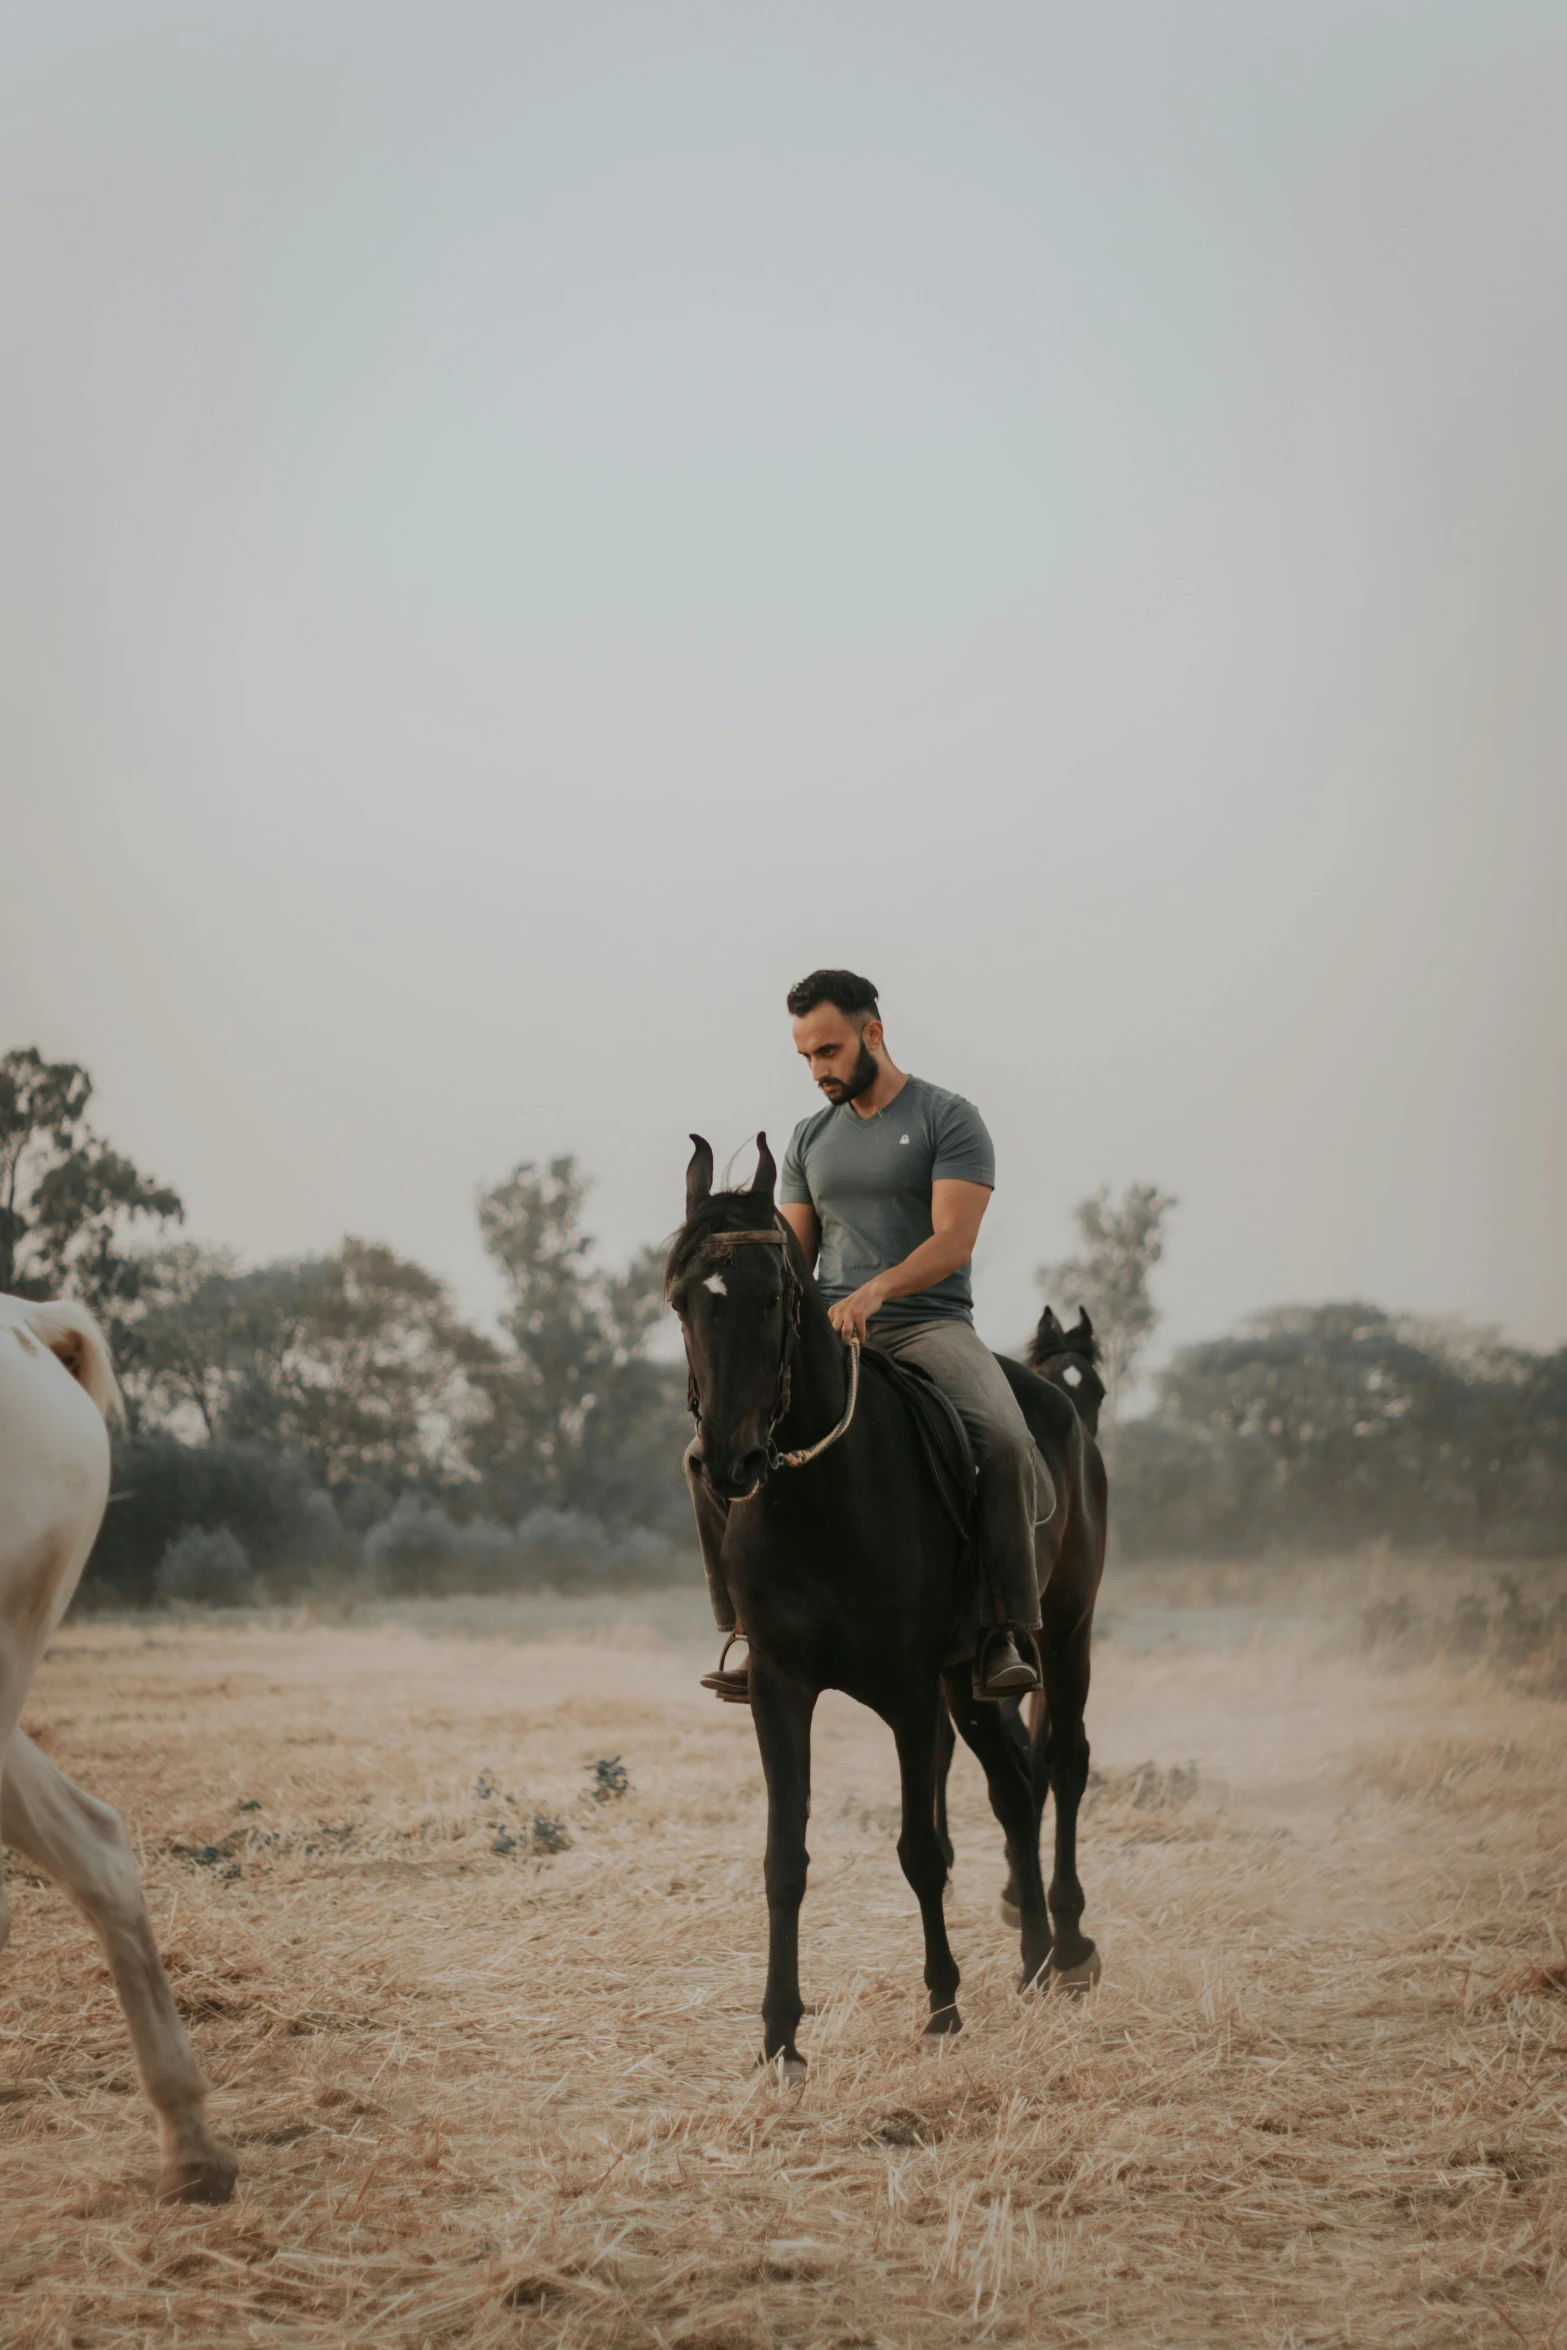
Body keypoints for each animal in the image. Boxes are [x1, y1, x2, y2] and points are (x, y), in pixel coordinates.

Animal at [667, 1137, 1108, 2077]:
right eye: (683, 1300)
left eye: (773, 1296)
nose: (728, 1460)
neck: (820, 1496)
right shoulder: (780, 1689)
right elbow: (783, 1859)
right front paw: (779, 2038)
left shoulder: (907, 1693)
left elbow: (920, 1849)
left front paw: (942, 2005)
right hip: (967, 1678)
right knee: (1015, 1788)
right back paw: (1033, 1957)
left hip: (1062, 1635)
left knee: (1061, 1765)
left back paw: (1068, 1947)